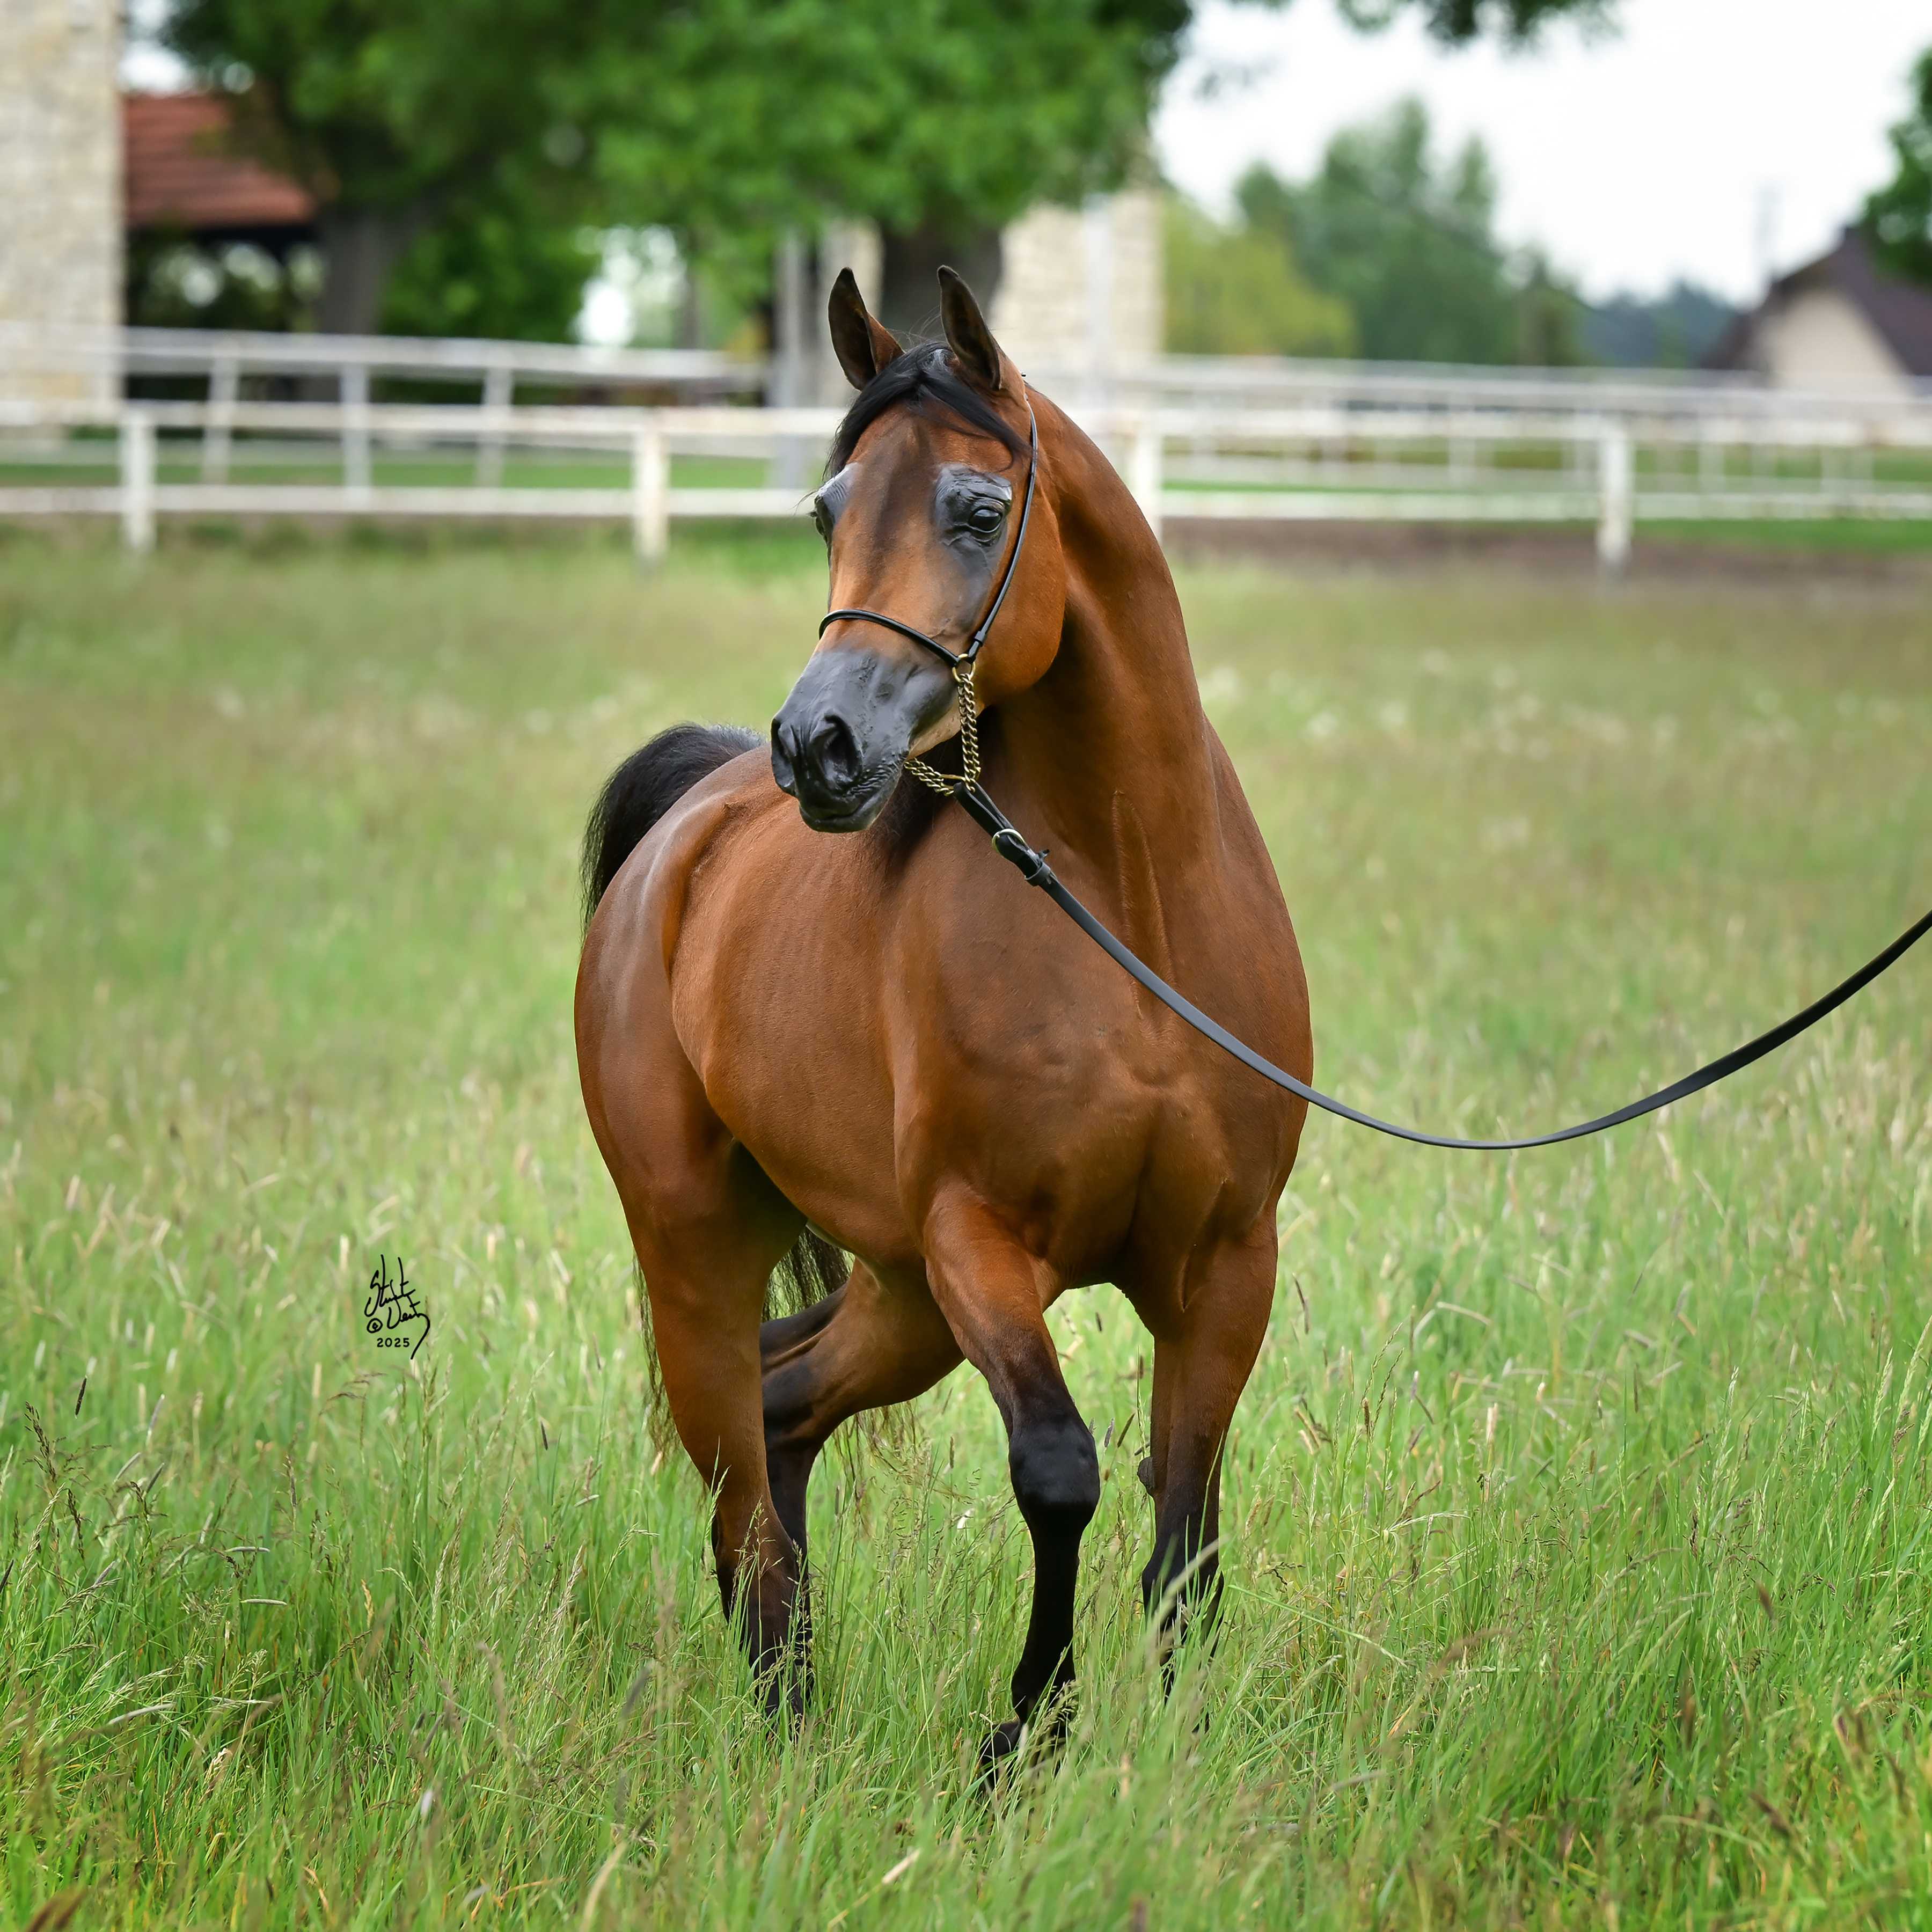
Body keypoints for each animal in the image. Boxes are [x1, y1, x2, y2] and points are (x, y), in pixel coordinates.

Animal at [575, 265, 1313, 1769]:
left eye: (976, 510)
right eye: (827, 510)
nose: (819, 746)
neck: (1128, 906)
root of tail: (681, 837)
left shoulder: (1226, 1263)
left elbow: (1187, 1518)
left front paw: (1176, 1747)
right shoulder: (982, 1242)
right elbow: (1062, 1469)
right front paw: (1026, 1733)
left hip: (898, 1295)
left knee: (782, 1411)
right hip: (709, 1251)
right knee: (738, 1471)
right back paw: (786, 1717)